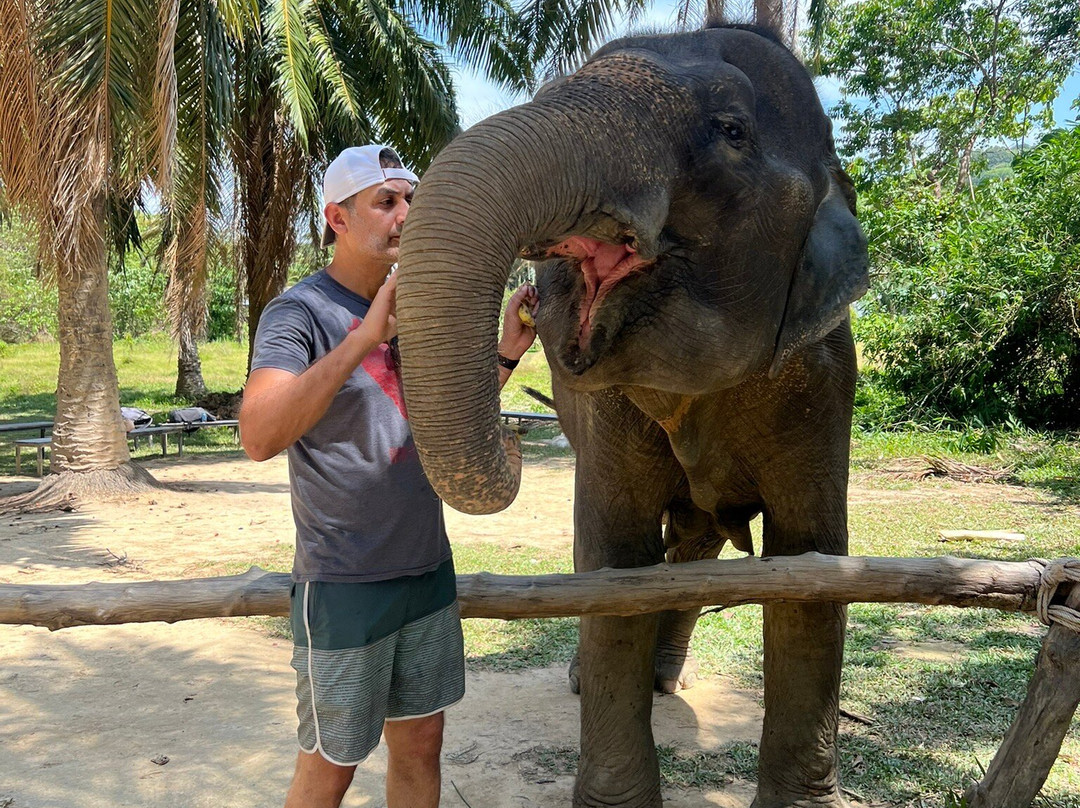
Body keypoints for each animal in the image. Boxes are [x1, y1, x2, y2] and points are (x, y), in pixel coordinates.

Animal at [395, 21, 869, 808]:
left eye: (732, 130)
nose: (526, 305)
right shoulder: (605, 404)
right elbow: (614, 562)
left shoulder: (823, 382)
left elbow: (811, 569)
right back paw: (596, 679)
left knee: (697, 544)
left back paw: (666, 677)